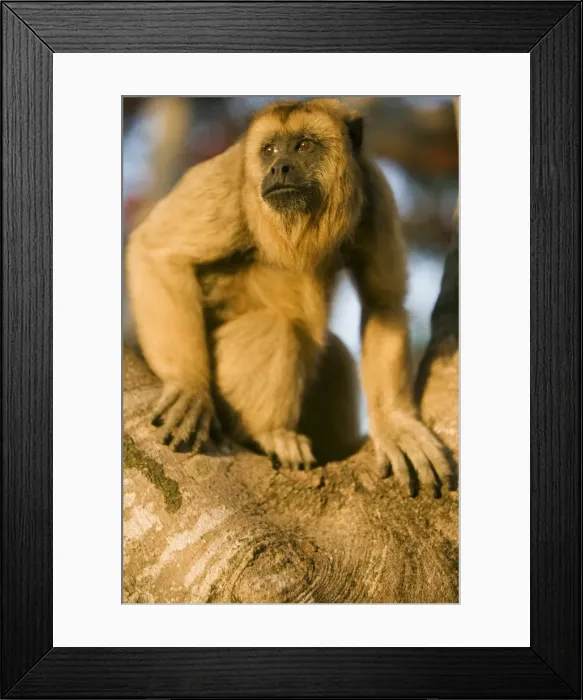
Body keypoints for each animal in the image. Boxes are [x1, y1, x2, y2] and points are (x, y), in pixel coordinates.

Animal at [125, 98, 454, 496]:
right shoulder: (228, 180)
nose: (278, 167)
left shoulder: (375, 191)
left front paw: (396, 426)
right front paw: (189, 388)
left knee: (335, 354)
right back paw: (269, 433)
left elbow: (383, 302)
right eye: (269, 150)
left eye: (303, 145)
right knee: (274, 326)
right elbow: (156, 250)